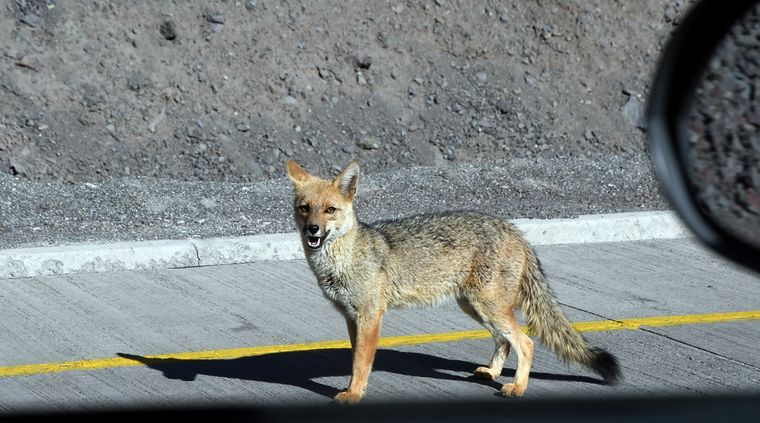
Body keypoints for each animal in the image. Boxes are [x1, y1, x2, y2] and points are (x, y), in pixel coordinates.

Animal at [286, 159, 621, 404]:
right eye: (305, 209)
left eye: (330, 210)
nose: (313, 230)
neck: (343, 260)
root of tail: (515, 230)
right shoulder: (351, 317)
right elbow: (357, 358)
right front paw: (353, 387)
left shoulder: (370, 316)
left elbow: (361, 362)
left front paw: (354, 394)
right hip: (475, 307)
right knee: (504, 340)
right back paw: (492, 372)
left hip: (488, 307)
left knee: (524, 341)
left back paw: (517, 387)